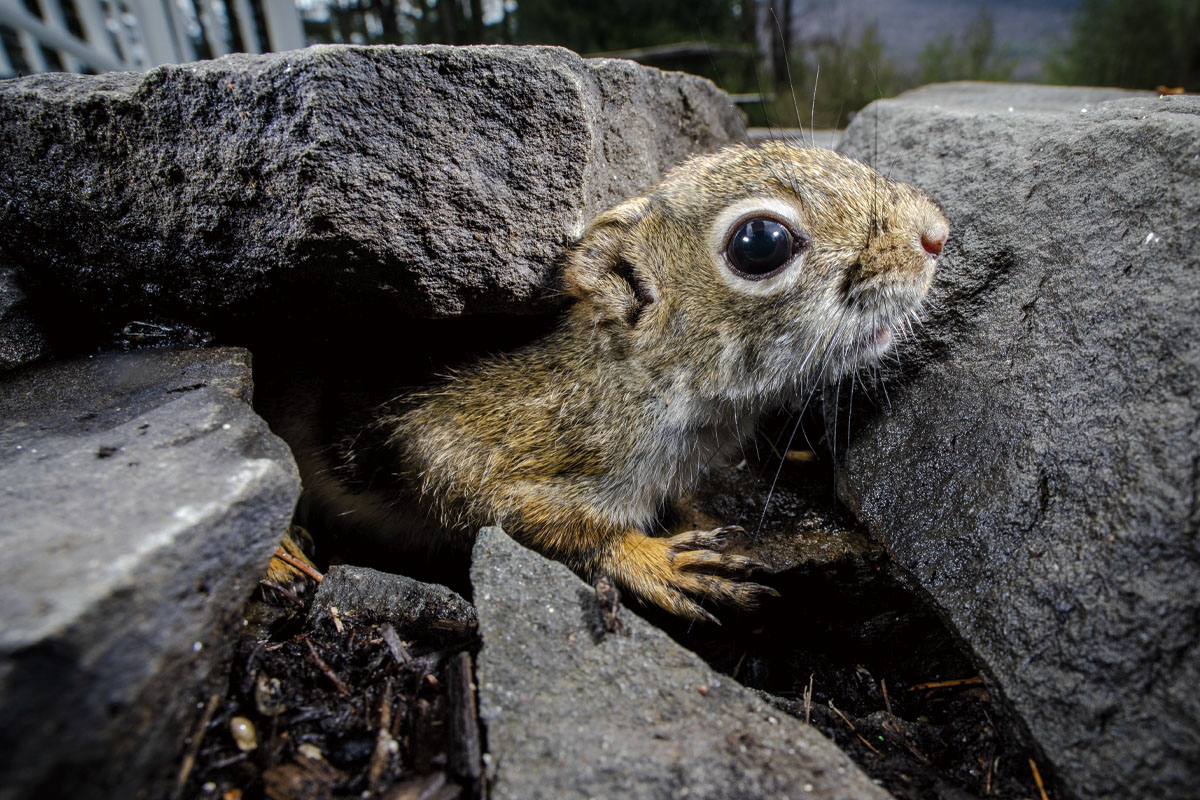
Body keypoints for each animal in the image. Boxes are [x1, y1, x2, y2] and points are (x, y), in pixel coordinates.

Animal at [281, 141, 949, 622]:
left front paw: (691, 510)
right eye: (761, 242)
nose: (936, 233)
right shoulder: (478, 441)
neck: (640, 383)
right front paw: (650, 559)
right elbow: (508, 512)